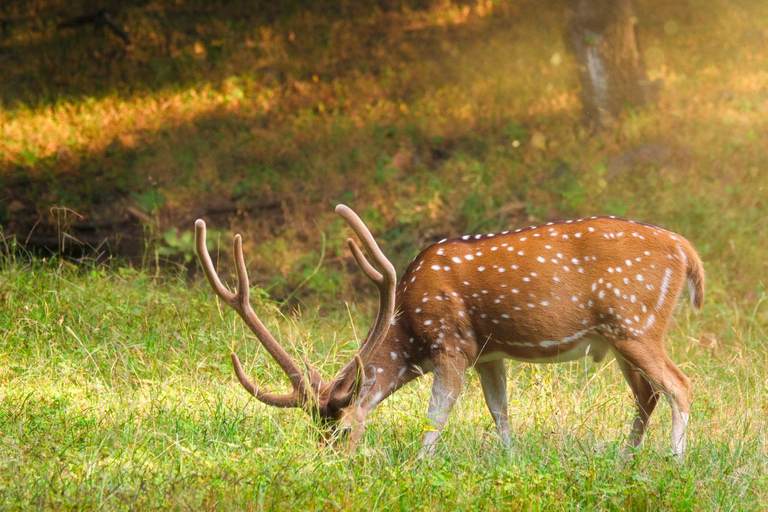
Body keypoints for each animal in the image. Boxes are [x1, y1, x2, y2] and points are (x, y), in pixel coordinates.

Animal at [195, 205, 704, 460]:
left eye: (341, 432)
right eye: (314, 433)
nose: (325, 463)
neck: (409, 328)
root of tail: (687, 251)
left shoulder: (451, 342)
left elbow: (436, 414)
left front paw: (418, 466)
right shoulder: (489, 354)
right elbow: (500, 413)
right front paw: (511, 462)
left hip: (635, 323)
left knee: (679, 384)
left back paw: (674, 463)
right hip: (618, 338)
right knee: (647, 394)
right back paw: (623, 460)